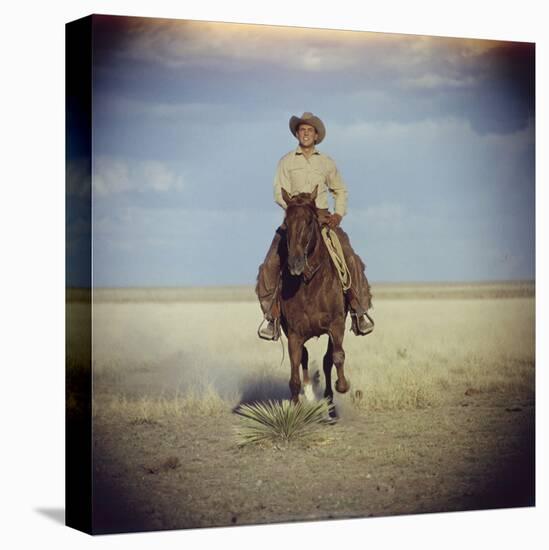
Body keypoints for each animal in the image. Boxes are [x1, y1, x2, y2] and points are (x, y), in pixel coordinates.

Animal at [278, 188, 352, 412]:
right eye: (286, 223)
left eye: (310, 221)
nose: (295, 263)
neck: (310, 285)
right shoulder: (294, 334)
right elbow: (294, 374)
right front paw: (295, 407)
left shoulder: (336, 325)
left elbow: (336, 357)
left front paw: (342, 386)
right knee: (305, 358)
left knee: (328, 359)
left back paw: (329, 400)